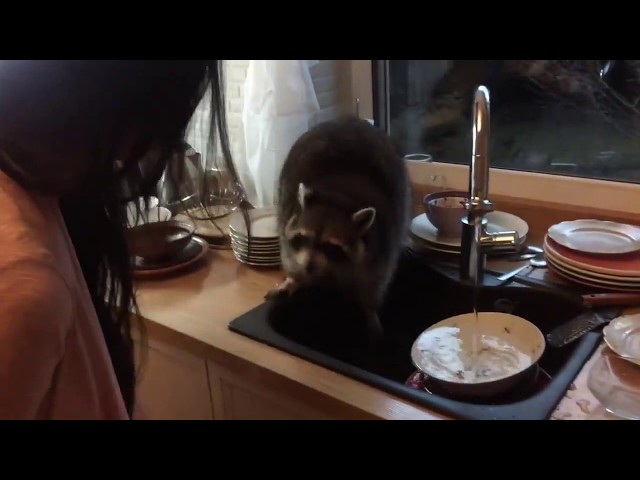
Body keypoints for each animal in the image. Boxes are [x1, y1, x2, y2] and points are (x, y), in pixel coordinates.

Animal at [268, 116, 412, 342]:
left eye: (329, 245)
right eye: (304, 237)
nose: (308, 266)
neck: (337, 199)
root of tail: (348, 119)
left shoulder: (382, 246)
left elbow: (374, 283)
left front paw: (370, 310)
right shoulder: (288, 224)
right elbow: (291, 256)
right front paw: (294, 278)